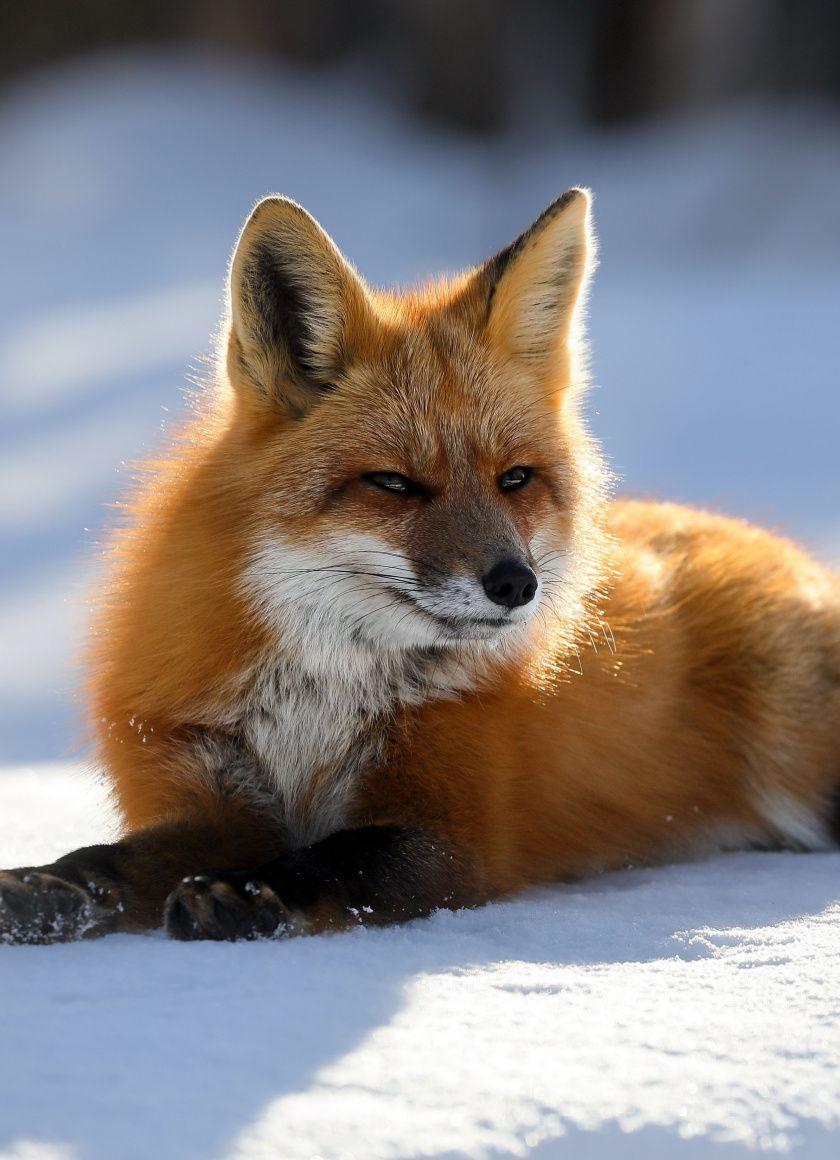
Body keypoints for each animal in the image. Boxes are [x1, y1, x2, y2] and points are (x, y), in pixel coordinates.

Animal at [1, 188, 839, 945]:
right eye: (395, 483)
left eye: (514, 479)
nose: (516, 584)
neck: (313, 711)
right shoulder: (208, 795)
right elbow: (109, 863)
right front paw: (44, 888)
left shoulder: (450, 828)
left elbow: (335, 861)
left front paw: (247, 892)